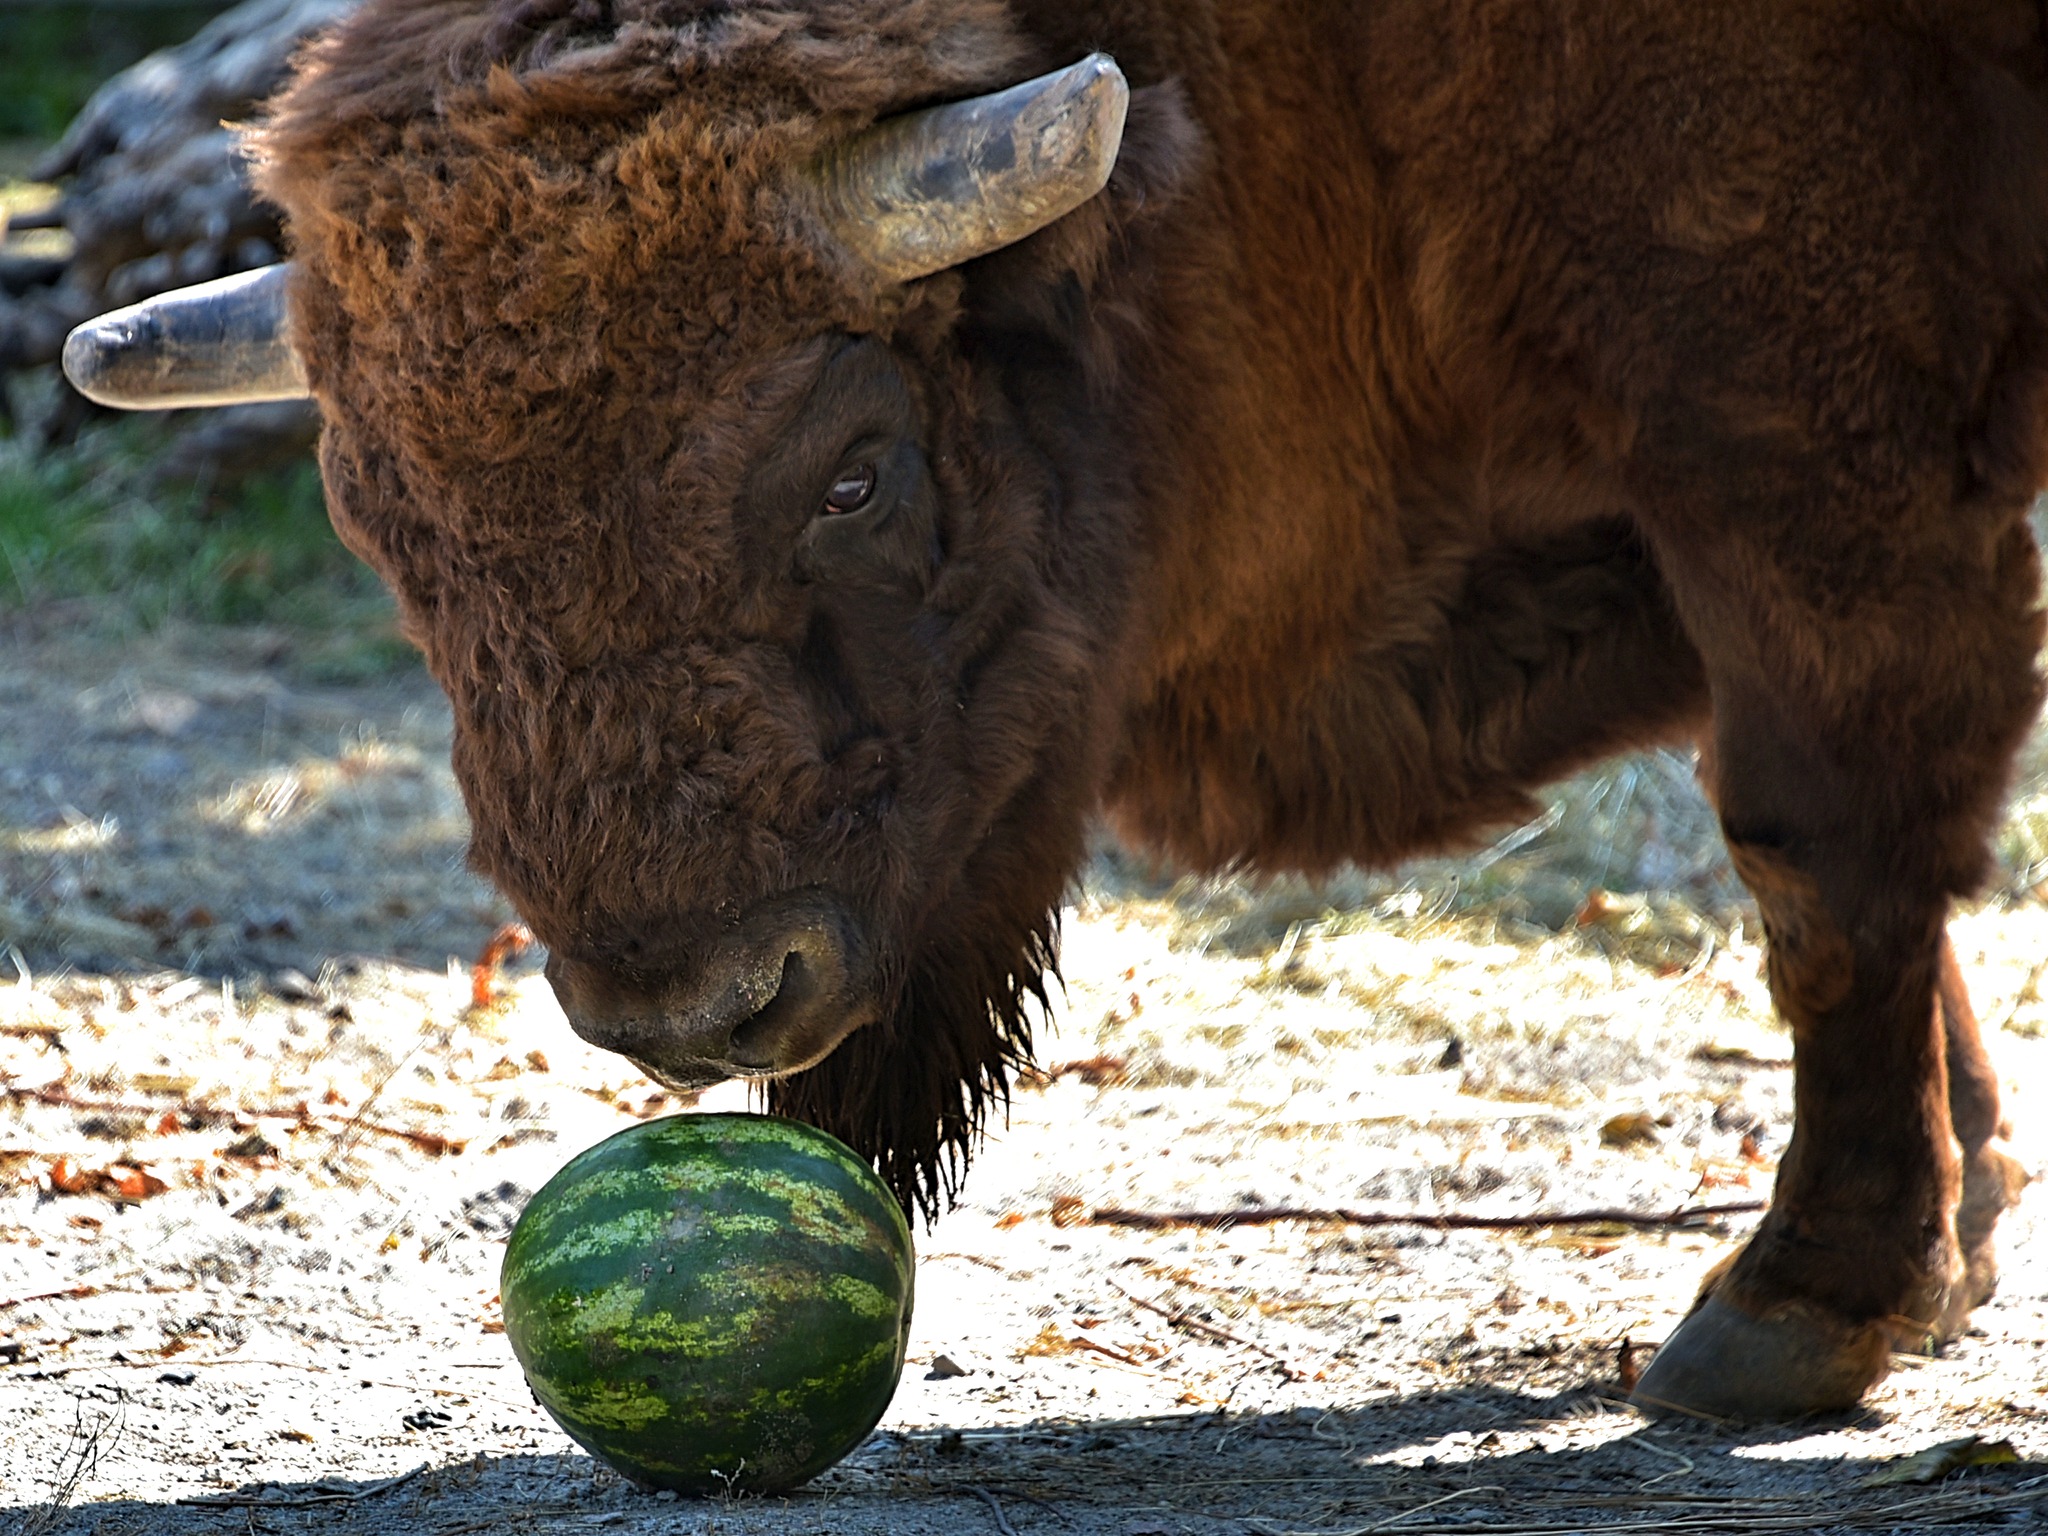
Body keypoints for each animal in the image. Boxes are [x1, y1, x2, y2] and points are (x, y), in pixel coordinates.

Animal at [56, 0, 2048, 1425]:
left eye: (852, 473)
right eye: (380, 530)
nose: (697, 1009)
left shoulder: (1783, 434)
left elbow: (1818, 857)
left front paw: (1792, 1316)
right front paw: (1948, 1250)